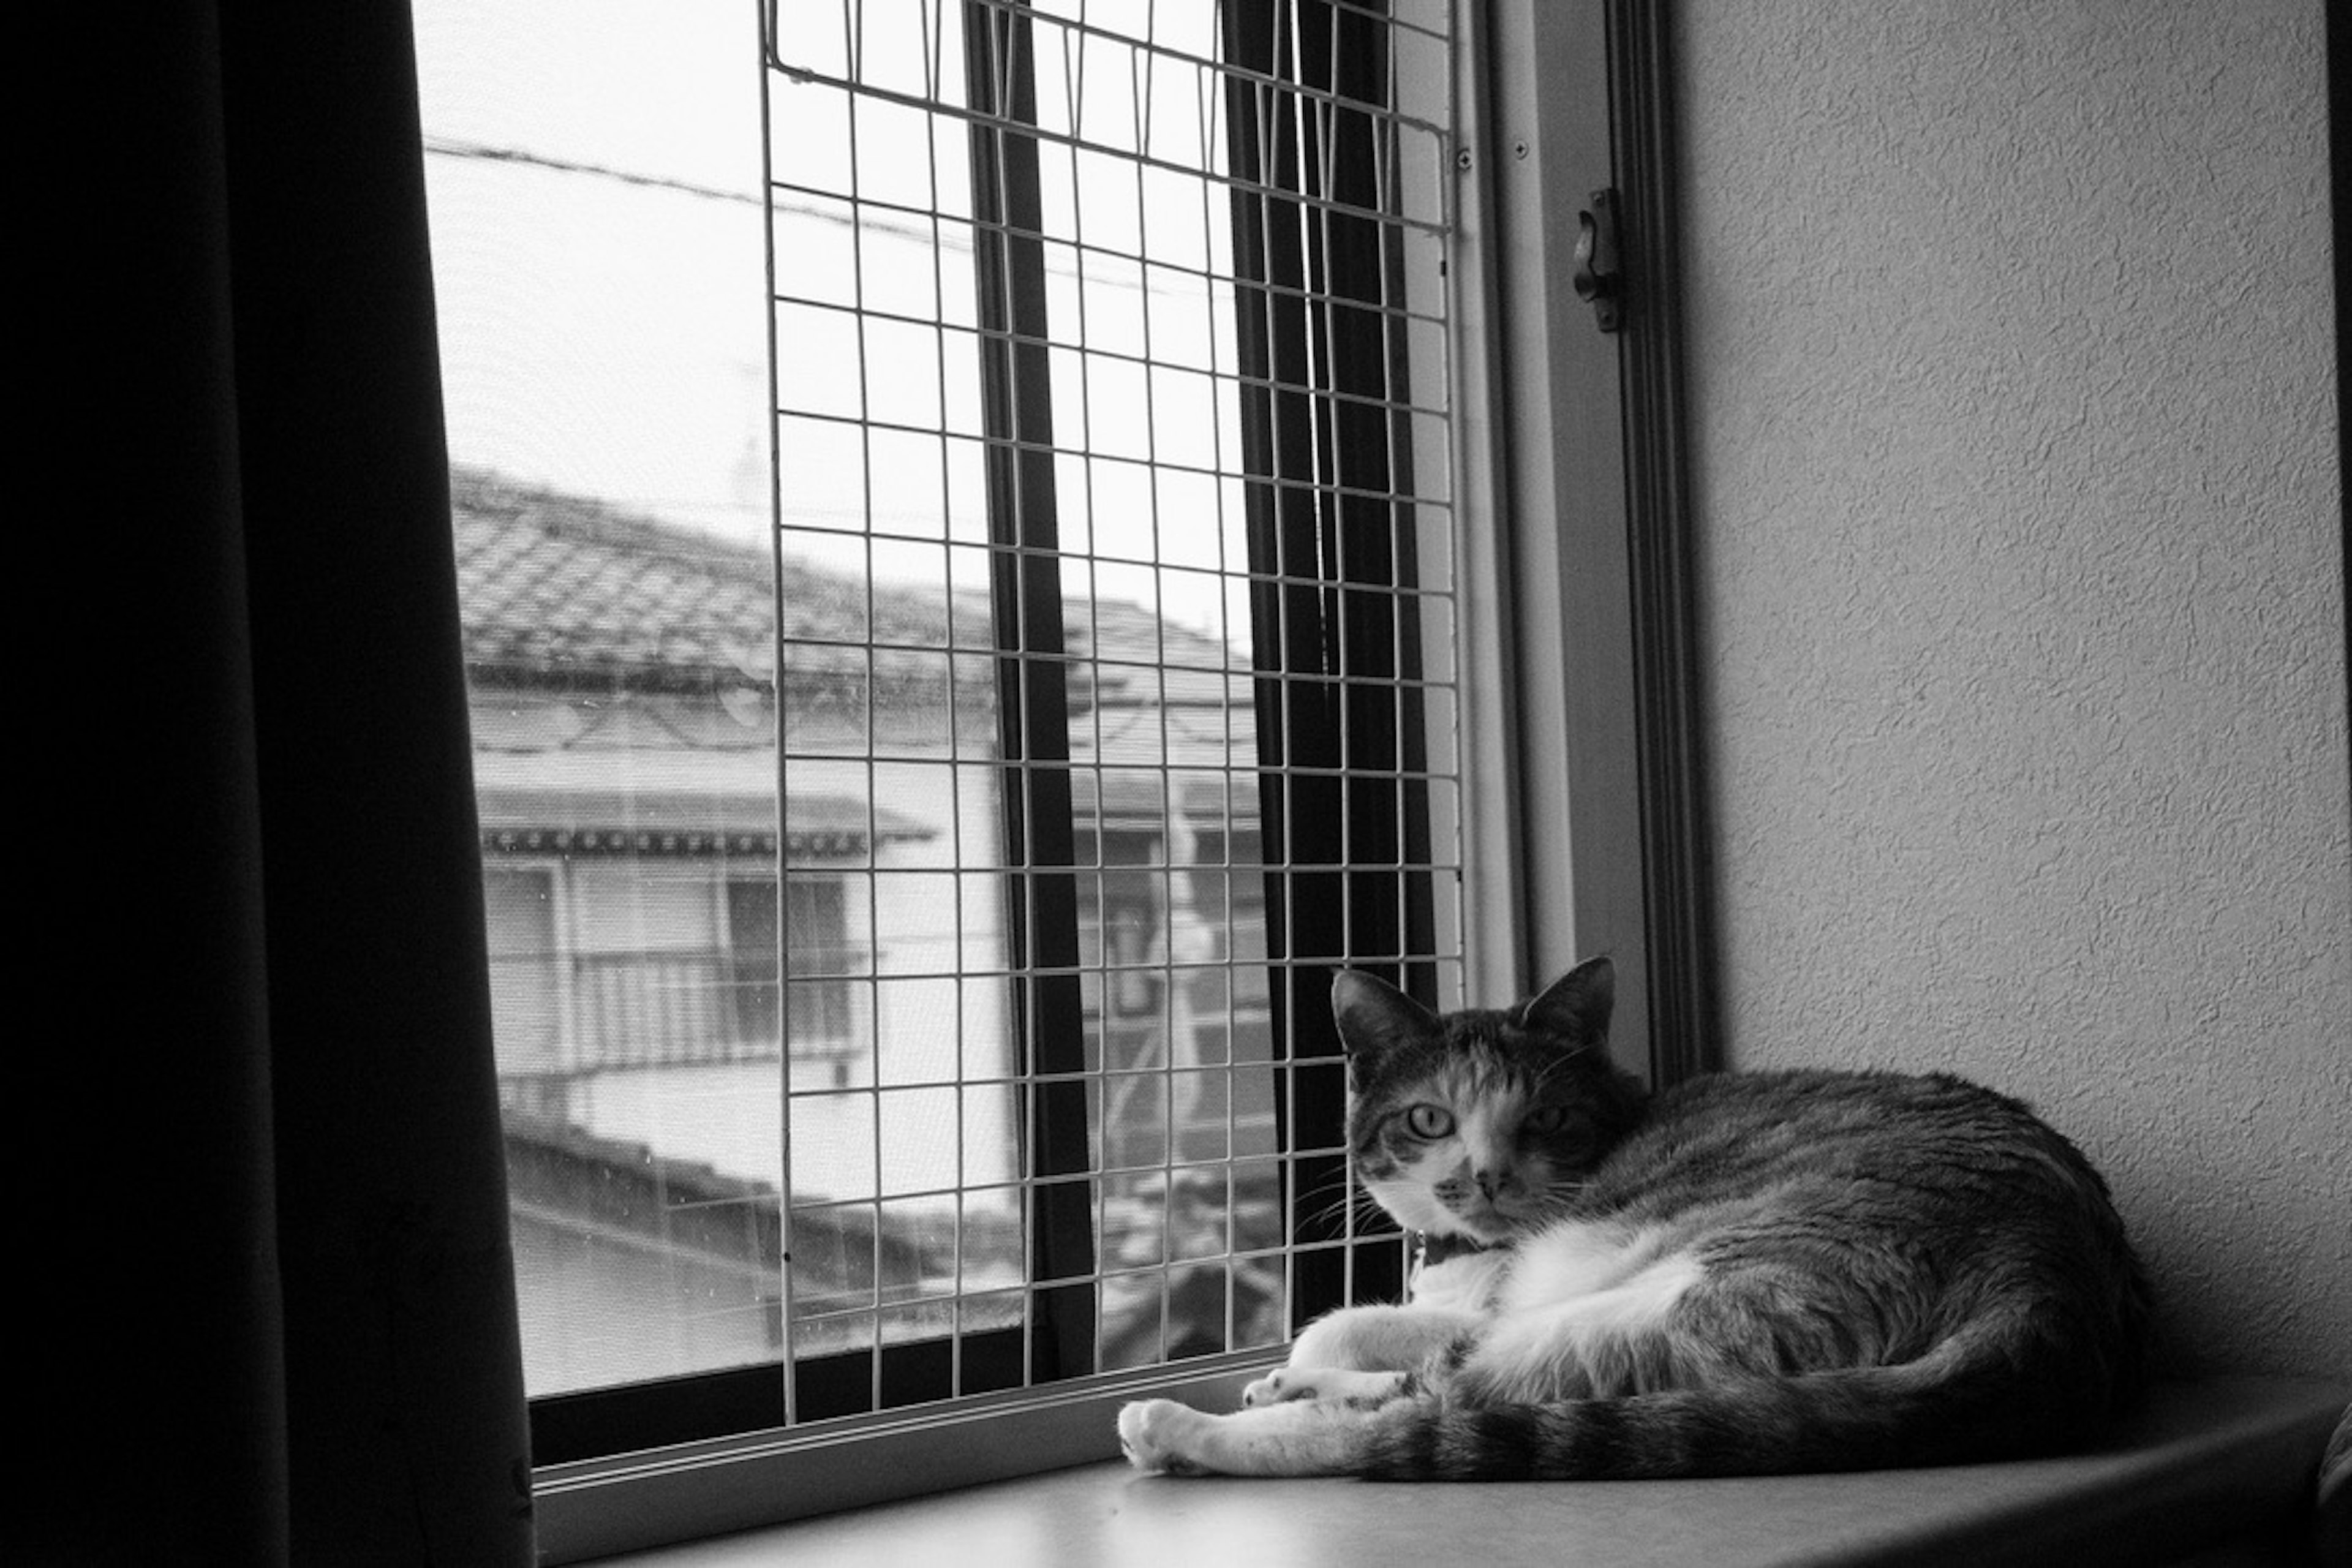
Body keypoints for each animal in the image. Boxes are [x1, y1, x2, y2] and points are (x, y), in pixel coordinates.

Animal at [1119, 959, 2154, 1485]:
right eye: (1429, 1121)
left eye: (1545, 1119)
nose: (1485, 1175)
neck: (1471, 1255)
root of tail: (2053, 1280)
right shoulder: (1478, 1297)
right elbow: (1373, 1323)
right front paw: (1296, 1369)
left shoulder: (1513, 1291)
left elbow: (1349, 1326)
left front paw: (1292, 1371)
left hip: (1696, 1285)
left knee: (1445, 1405)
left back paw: (1183, 1425)